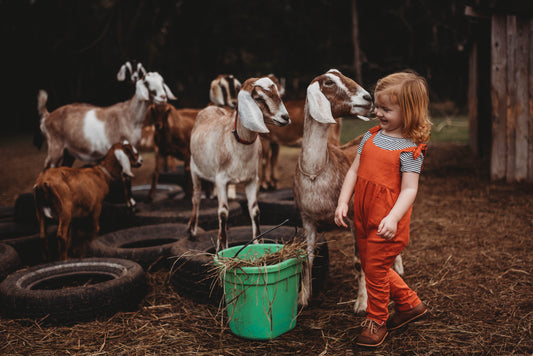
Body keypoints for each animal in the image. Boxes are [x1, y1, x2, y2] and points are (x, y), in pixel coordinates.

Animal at [186, 77, 288, 252]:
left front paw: (258, 242)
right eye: (259, 98)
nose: (285, 117)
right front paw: (222, 246)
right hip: (195, 169)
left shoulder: (252, 179)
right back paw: (192, 230)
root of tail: (211, 107)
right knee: (196, 197)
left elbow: (255, 211)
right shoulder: (220, 179)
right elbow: (223, 212)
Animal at [294, 69, 402, 312]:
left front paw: (362, 302)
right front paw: (303, 297)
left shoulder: (353, 218)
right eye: (329, 82)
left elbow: (358, 261)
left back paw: (398, 267)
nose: (367, 98)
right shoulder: (307, 219)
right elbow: (307, 258)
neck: (316, 171)